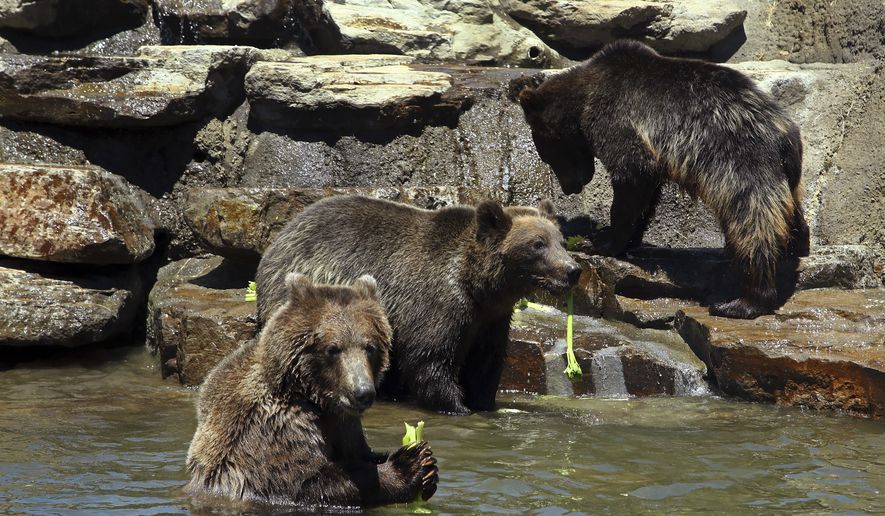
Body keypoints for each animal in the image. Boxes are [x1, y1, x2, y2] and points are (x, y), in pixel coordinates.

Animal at [185, 273, 438, 509]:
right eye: (333, 348)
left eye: (370, 347)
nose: (363, 392)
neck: (312, 395)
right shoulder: (274, 427)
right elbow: (310, 481)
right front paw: (409, 463)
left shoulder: (344, 423)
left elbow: (360, 452)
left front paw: (429, 465)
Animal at [256, 196, 581, 415]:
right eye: (537, 244)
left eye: (561, 241)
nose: (572, 270)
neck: (477, 285)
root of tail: (279, 237)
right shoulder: (438, 305)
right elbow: (430, 361)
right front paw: (458, 406)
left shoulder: (491, 319)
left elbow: (485, 364)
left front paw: (485, 403)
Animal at [518, 39, 810, 320]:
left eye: (548, 154)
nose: (569, 188)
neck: (583, 100)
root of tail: (784, 129)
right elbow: (646, 196)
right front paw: (628, 240)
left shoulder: (619, 122)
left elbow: (631, 177)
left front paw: (601, 242)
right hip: (786, 173)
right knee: (790, 211)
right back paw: (797, 247)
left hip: (740, 162)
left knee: (751, 221)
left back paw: (743, 302)